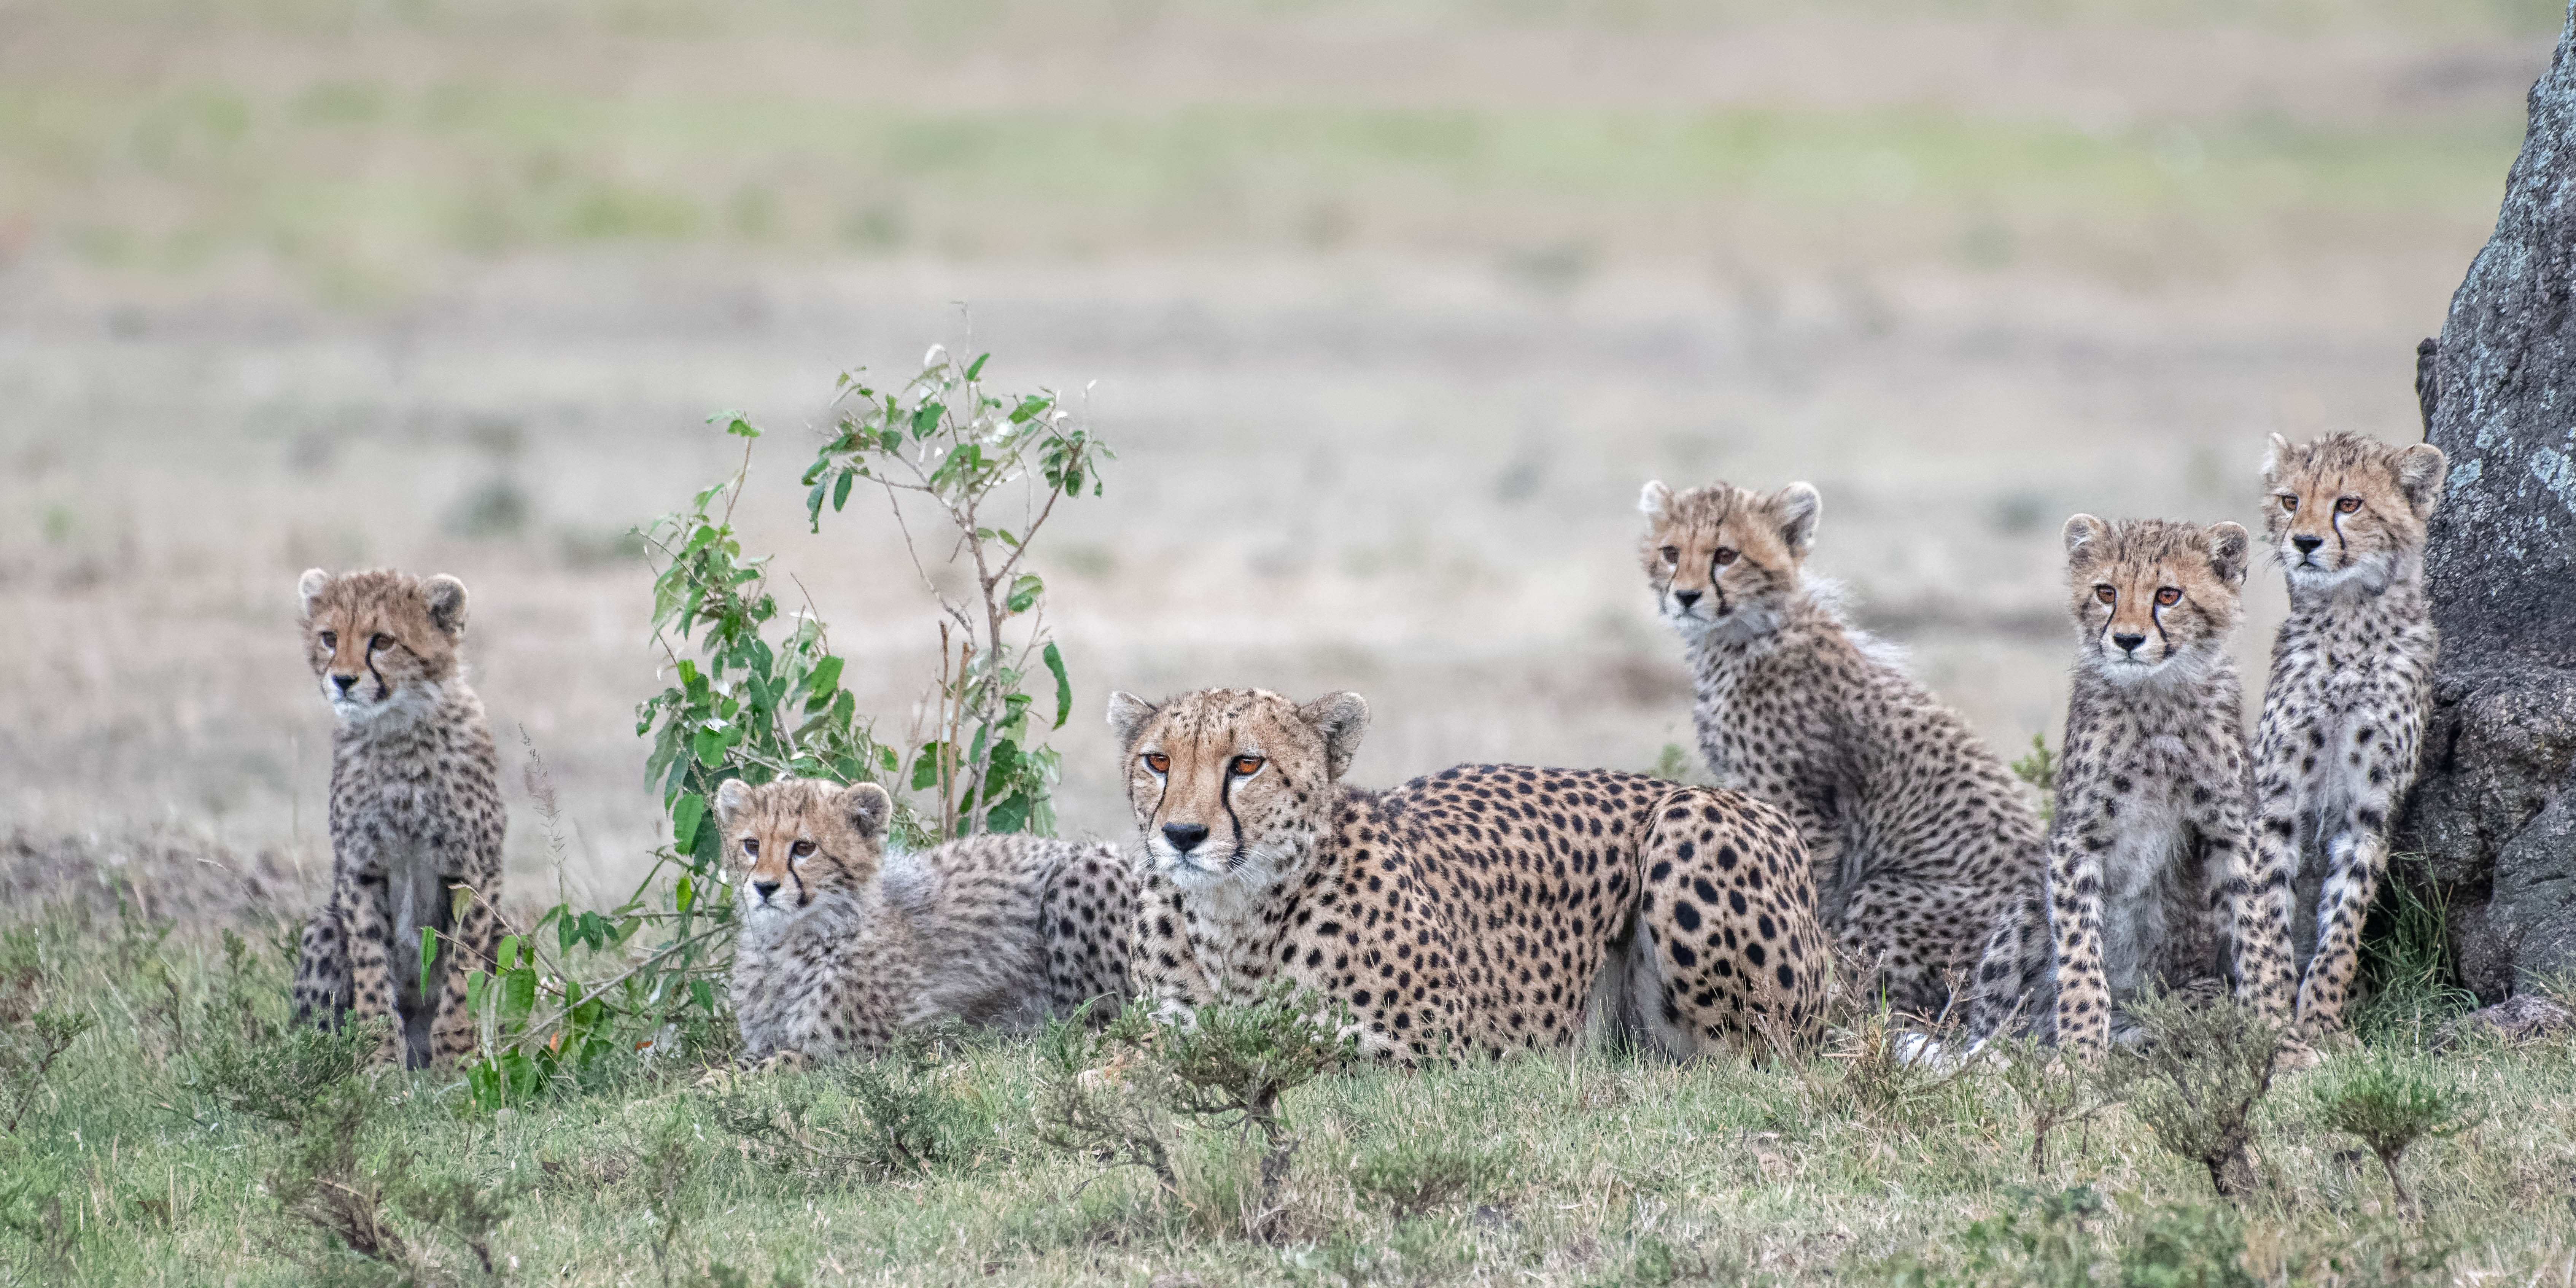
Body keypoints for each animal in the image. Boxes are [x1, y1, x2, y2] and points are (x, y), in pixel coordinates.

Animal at [1107, 690, 1834, 1061]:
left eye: (1247, 765)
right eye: (1157, 761)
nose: (1181, 836)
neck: (1235, 916)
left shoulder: (1435, 1056)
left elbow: (1285, 1050)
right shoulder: (1166, 1022)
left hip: (1688, 824)